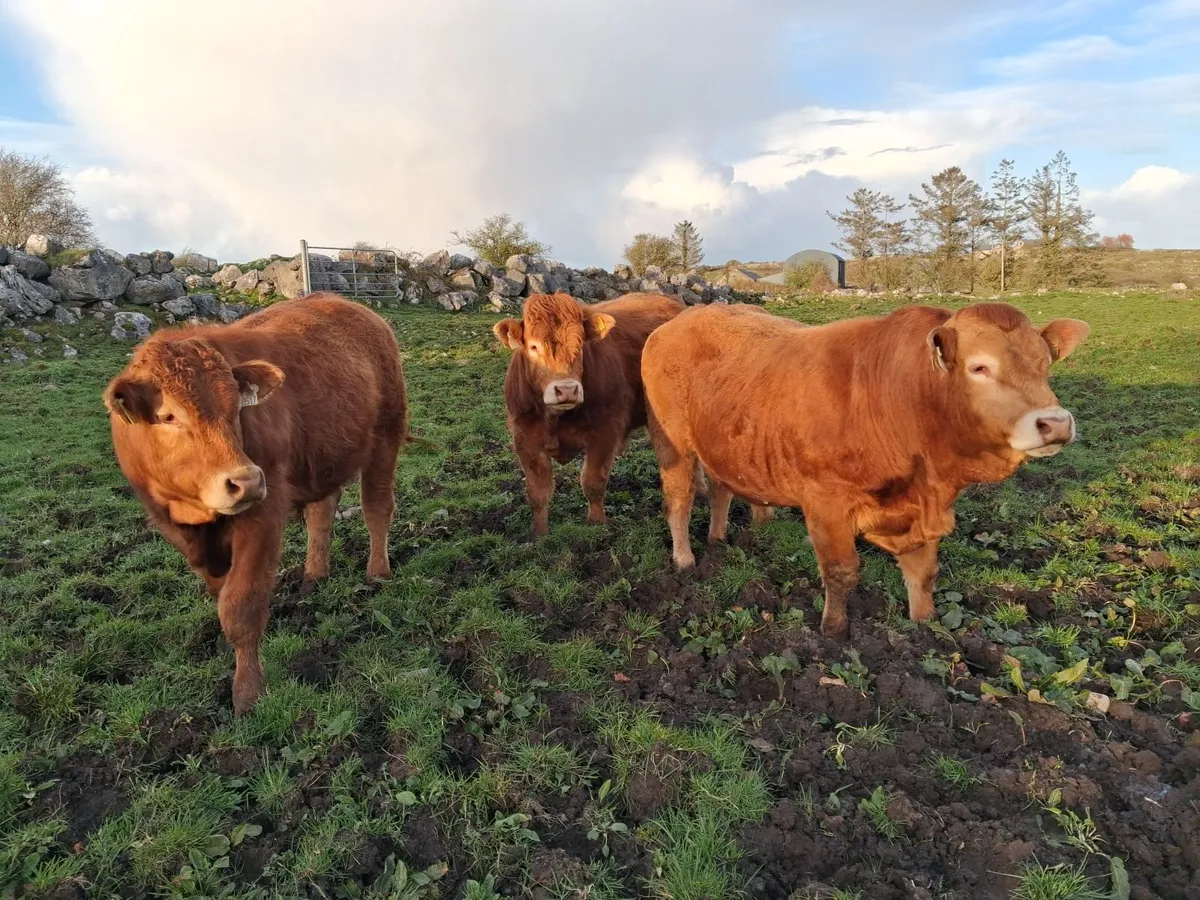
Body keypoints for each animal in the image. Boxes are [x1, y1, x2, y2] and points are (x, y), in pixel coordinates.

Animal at [103, 294, 408, 715]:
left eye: (236, 409)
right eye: (167, 416)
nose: (245, 481)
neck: (195, 515)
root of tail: (350, 305)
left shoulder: (263, 515)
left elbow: (241, 606)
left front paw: (248, 693)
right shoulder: (176, 528)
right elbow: (221, 595)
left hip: (386, 433)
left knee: (377, 507)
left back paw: (377, 572)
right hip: (324, 454)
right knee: (321, 511)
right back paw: (314, 574)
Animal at [493, 291, 685, 536]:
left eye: (580, 345)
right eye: (534, 347)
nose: (567, 390)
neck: (556, 418)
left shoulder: (605, 432)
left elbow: (593, 482)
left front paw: (596, 523)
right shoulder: (525, 438)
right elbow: (538, 491)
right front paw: (539, 532)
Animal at [642, 301, 1089, 639]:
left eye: (1045, 364)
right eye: (979, 367)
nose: (1056, 423)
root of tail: (681, 319)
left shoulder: (921, 508)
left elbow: (924, 573)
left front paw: (923, 624)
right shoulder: (825, 503)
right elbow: (842, 572)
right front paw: (834, 630)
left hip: (721, 443)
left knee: (720, 487)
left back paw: (718, 538)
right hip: (672, 443)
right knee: (678, 501)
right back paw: (685, 558)